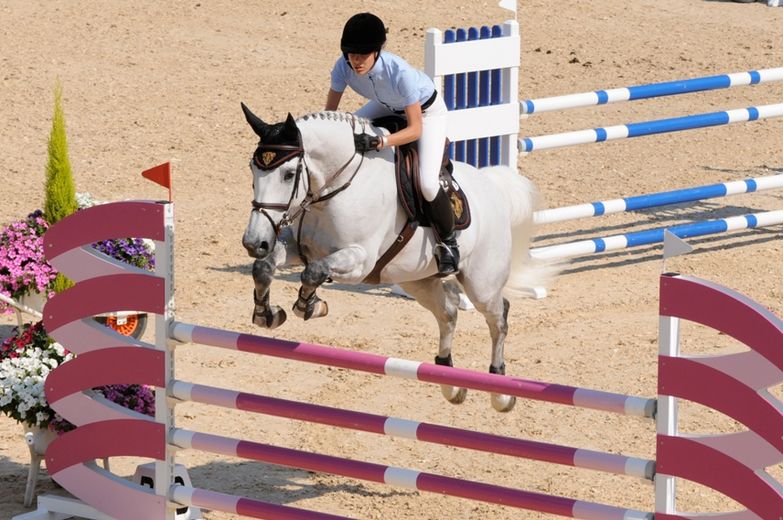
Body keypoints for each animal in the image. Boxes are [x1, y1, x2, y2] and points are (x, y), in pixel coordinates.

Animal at [239, 103, 552, 412]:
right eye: (252, 169)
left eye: (289, 174)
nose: (254, 243)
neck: (335, 189)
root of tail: (492, 184)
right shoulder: (298, 246)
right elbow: (264, 268)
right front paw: (266, 313)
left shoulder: (360, 260)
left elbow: (313, 272)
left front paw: (310, 306)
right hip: (418, 280)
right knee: (448, 311)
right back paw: (450, 383)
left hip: (481, 284)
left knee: (498, 317)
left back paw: (500, 392)